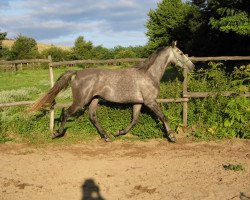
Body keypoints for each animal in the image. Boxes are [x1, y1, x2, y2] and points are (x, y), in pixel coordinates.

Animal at [28, 41, 194, 142]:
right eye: (180, 53)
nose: (192, 66)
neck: (149, 75)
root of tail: (77, 73)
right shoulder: (150, 102)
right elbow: (163, 117)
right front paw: (172, 137)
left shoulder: (138, 102)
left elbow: (134, 120)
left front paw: (119, 132)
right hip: (81, 101)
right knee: (66, 113)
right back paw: (57, 133)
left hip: (94, 100)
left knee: (92, 116)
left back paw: (106, 136)